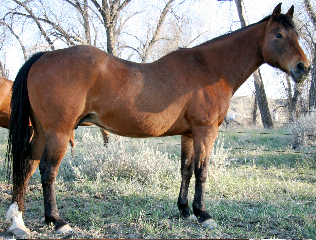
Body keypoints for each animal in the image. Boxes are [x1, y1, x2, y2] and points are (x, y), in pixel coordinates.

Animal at [5, 4, 312, 235]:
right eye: (278, 35)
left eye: (294, 33)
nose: (304, 68)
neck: (210, 68)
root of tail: (45, 55)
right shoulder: (205, 131)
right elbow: (202, 171)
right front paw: (204, 214)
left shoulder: (188, 133)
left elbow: (186, 170)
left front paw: (185, 210)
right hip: (58, 132)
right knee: (47, 171)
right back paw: (57, 221)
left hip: (41, 131)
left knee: (27, 165)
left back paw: (17, 221)